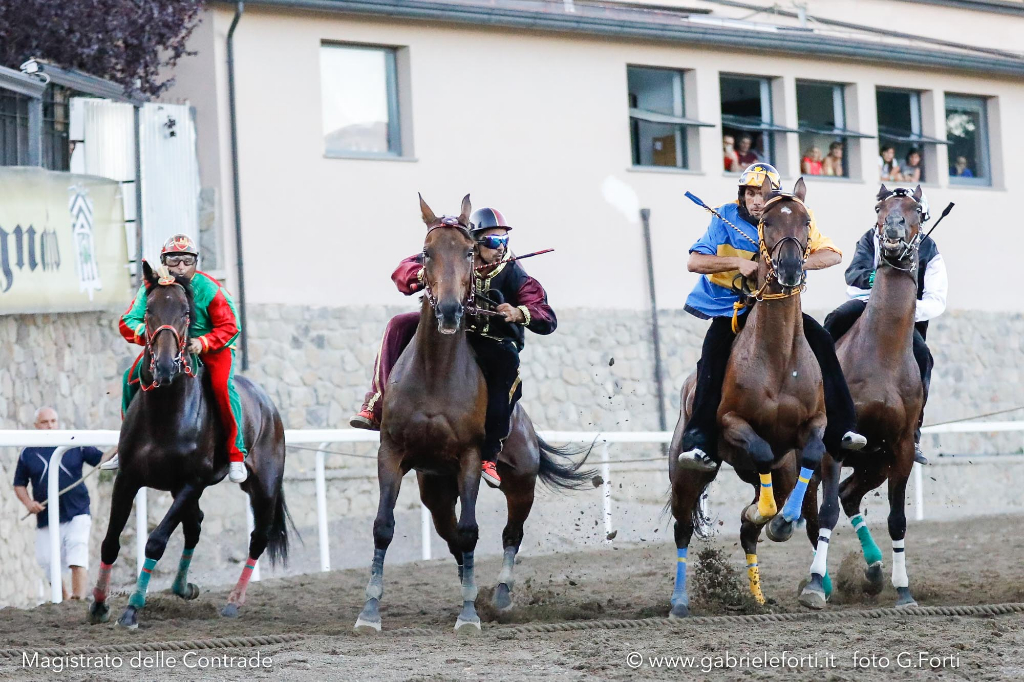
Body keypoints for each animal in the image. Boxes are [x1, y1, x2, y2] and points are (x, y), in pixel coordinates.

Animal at [87, 260, 292, 626]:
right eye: (149, 310)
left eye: (185, 312)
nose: (166, 366)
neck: (165, 415)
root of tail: (267, 402)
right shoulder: (128, 478)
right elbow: (110, 541)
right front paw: (98, 604)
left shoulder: (192, 481)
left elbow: (156, 541)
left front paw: (133, 608)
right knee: (195, 526)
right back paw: (182, 587)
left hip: (265, 484)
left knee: (258, 538)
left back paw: (233, 602)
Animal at [352, 192, 593, 630]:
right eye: (426, 253)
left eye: (468, 251)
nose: (449, 311)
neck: (435, 375)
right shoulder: (391, 452)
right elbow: (383, 527)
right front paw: (370, 611)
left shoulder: (468, 457)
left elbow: (471, 531)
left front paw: (468, 615)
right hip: (434, 488)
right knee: (449, 536)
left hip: (522, 483)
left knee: (510, 534)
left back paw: (500, 595)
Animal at [667, 178, 827, 614]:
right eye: (767, 222)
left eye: (806, 221)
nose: (789, 269)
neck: (778, 358)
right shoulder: (731, 424)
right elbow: (760, 451)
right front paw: (765, 514)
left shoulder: (814, 424)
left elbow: (810, 453)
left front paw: (780, 520)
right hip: (686, 472)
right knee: (683, 528)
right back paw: (679, 600)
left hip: (778, 472)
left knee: (750, 531)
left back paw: (758, 594)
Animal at [798, 184, 929, 606]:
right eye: (880, 208)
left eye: (916, 208)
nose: (893, 229)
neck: (882, 354)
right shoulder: (834, 442)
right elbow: (824, 513)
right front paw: (814, 585)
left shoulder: (900, 448)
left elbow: (897, 519)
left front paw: (903, 589)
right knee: (815, 505)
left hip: (876, 463)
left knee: (849, 494)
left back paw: (872, 570)